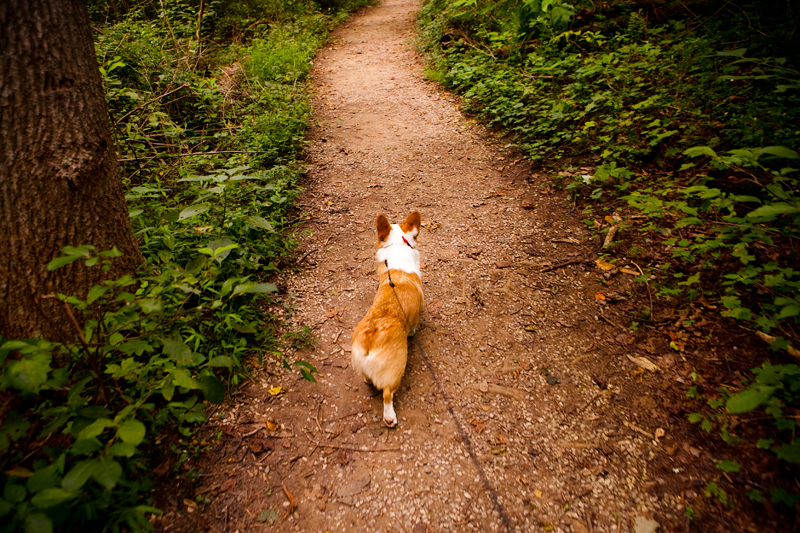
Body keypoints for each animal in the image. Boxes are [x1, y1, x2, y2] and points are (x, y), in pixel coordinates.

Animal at [352, 210, 424, 426]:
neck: (398, 247)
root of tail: (370, 339)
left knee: (368, 378)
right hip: (396, 372)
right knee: (387, 395)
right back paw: (390, 417)